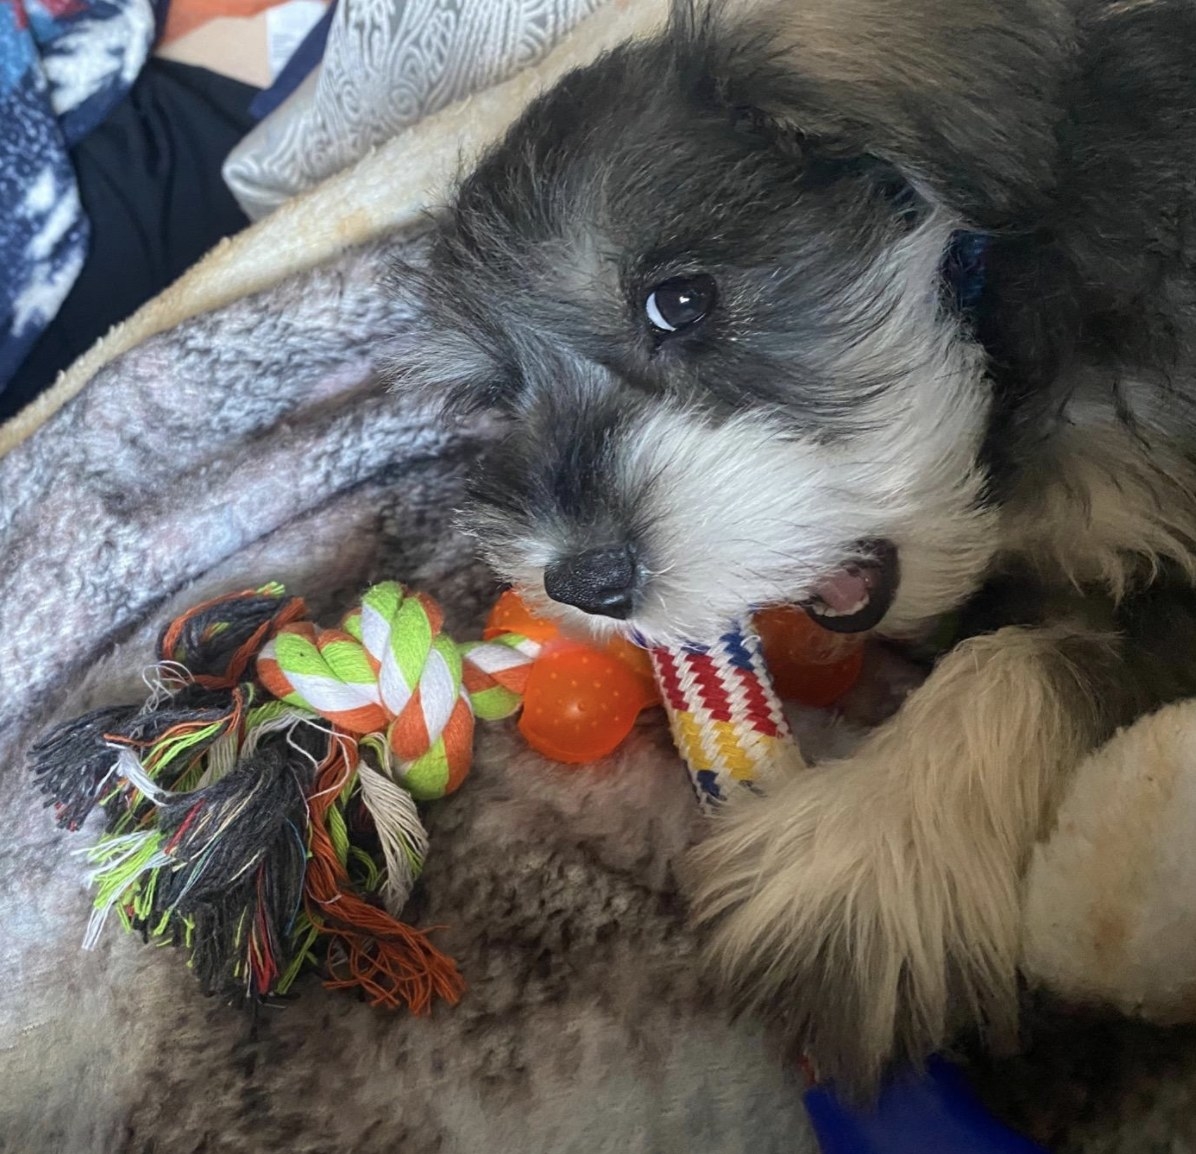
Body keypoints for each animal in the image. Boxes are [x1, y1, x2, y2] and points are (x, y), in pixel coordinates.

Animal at [392, 0, 1196, 1095]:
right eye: (501, 394)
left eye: (681, 299)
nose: (585, 580)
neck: (994, 294)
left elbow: (1012, 663)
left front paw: (855, 864)